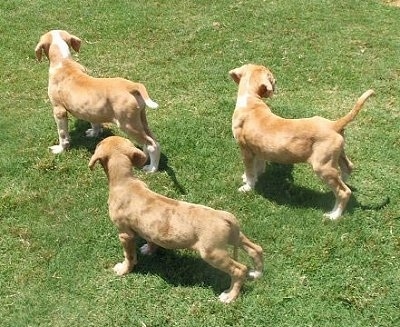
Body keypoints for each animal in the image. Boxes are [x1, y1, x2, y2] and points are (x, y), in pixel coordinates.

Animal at [35, 29, 161, 173]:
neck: (63, 61)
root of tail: (132, 86)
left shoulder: (59, 110)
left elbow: (62, 134)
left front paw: (60, 149)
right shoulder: (91, 110)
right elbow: (94, 121)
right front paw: (94, 133)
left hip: (128, 125)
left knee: (151, 144)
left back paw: (152, 169)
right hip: (140, 119)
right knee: (153, 141)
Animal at [89, 136, 264, 304]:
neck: (125, 182)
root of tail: (224, 216)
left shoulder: (125, 234)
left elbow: (129, 256)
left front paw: (124, 269)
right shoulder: (149, 226)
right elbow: (151, 238)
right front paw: (149, 249)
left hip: (213, 252)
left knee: (239, 269)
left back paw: (230, 296)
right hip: (234, 236)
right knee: (255, 248)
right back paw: (257, 272)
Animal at [230, 63, 374, 220]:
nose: (277, 82)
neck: (251, 100)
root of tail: (333, 124)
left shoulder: (245, 150)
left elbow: (250, 170)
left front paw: (247, 187)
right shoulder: (259, 149)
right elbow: (258, 167)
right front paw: (253, 177)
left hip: (322, 166)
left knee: (344, 192)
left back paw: (334, 215)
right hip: (337, 155)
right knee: (347, 169)